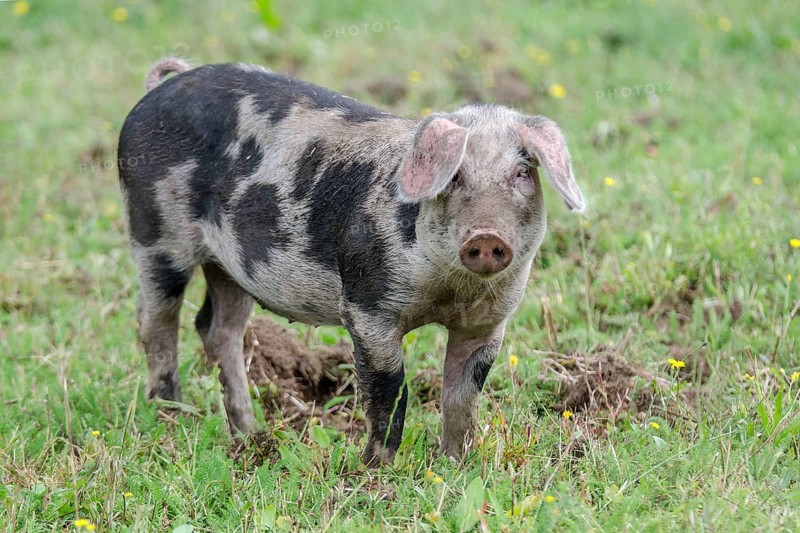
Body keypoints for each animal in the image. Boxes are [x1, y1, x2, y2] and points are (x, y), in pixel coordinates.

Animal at [118, 58, 584, 465]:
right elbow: (391, 392)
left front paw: (455, 466)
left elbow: (461, 397)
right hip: (155, 232)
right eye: (454, 176)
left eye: (522, 173)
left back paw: (250, 436)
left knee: (217, 328)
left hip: (232, 267)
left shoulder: (488, 321)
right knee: (155, 322)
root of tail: (159, 90)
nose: (486, 237)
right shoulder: (366, 307)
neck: (448, 290)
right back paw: (172, 419)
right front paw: (376, 472)